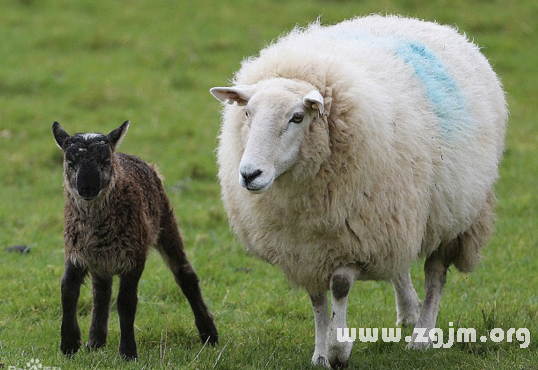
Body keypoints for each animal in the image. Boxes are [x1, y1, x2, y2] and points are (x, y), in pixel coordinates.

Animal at [208, 14, 502, 368]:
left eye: (297, 117)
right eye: (247, 113)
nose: (250, 174)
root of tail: (423, 22)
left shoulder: (353, 238)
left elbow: (339, 286)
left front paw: (339, 349)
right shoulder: (306, 247)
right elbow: (317, 298)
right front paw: (321, 352)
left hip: (454, 212)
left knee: (435, 272)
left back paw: (421, 336)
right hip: (399, 214)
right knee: (400, 265)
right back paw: (409, 312)